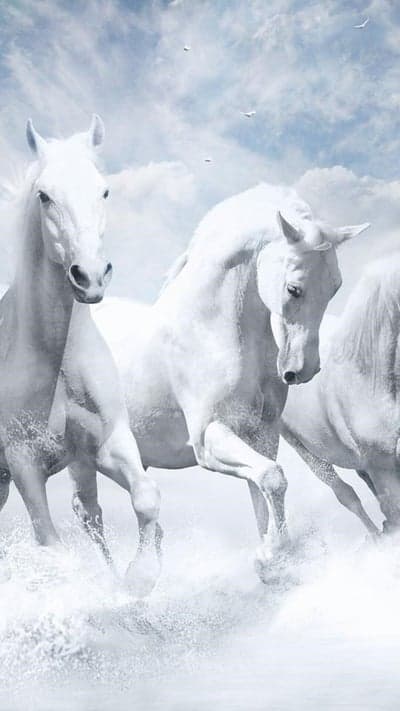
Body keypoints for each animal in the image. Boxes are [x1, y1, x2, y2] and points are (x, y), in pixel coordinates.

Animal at [0, 118, 162, 596]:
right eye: (44, 196)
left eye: (103, 191)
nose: (89, 276)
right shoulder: (23, 462)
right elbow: (51, 545)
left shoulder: (107, 444)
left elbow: (146, 498)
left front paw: (139, 578)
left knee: (92, 514)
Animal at [89, 183, 368, 579]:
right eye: (294, 289)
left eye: (335, 287)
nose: (303, 370)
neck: (210, 330)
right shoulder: (209, 437)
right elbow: (273, 479)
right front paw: (275, 555)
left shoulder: (260, 435)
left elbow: (263, 487)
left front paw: (270, 558)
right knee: (87, 515)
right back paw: (116, 581)